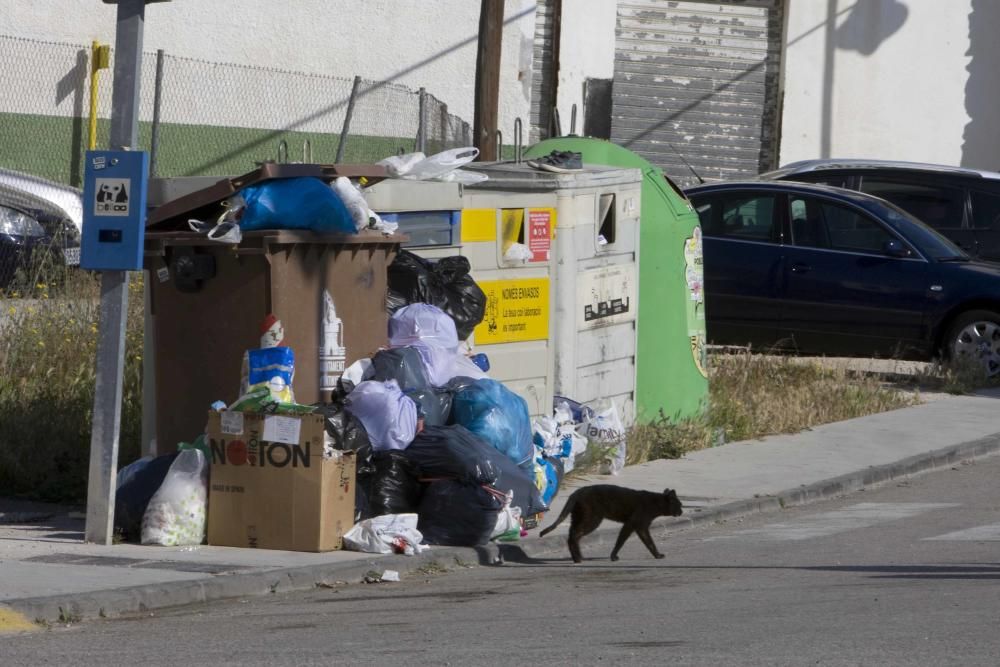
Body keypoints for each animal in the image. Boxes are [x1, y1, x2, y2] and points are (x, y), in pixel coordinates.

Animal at [544, 486, 684, 564]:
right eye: (679, 504)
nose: (682, 511)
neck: (655, 504)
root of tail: (576, 492)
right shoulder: (633, 524)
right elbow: (622, 541)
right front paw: (613, 556)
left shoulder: (639, 526)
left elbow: (648, 542)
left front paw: (657, 555)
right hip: (592, 519)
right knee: (574, 535)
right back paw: (578, 559)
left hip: (579, 517)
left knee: (572, 534)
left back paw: (578, 557)